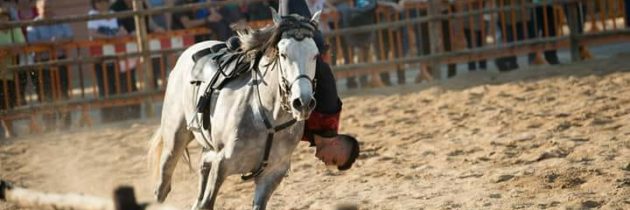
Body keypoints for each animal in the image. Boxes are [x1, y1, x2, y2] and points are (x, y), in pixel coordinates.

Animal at [148, 8, 324, 210]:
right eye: (283, 54)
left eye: (315, 55)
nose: (302, 102)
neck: (269, 119)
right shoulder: (223, 164)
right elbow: (208, 202)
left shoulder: (273, 173)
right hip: (175, 137)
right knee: (163, 184)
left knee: (203, 166)